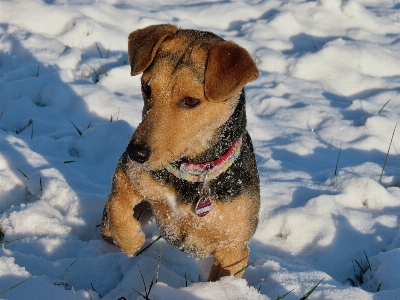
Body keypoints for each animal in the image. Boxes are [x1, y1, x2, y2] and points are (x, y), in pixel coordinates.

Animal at [101, 24, 260, 282]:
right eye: (146, 88)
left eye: (191, 101)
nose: (136, 153)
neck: (191, 173)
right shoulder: (128, 176)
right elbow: (118, 206)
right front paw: (132, 240)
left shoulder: (233, 247)